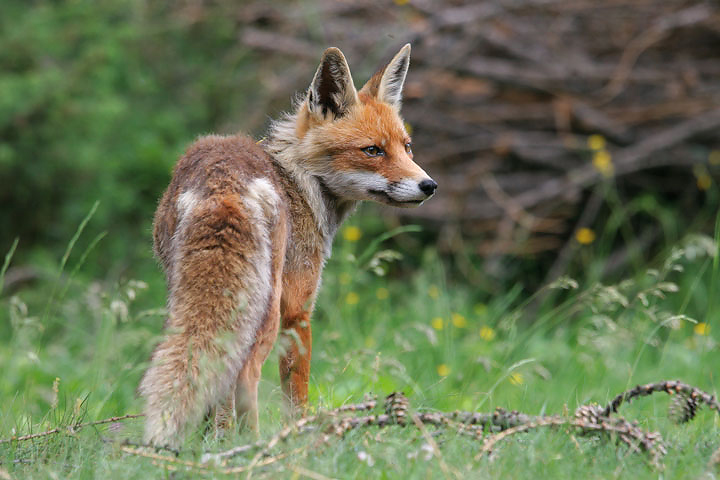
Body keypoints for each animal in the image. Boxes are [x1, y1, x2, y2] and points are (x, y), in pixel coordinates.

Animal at [139, 44, 436, 446]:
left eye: (407, 147)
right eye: (373, 150)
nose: (429, 185)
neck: (299, 180)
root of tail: (222, 182)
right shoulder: (298, 310)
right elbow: (297, 394)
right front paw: (300, 438)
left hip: (185, 296)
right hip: (264, 312)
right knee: (244, 375)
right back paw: (247, 445)